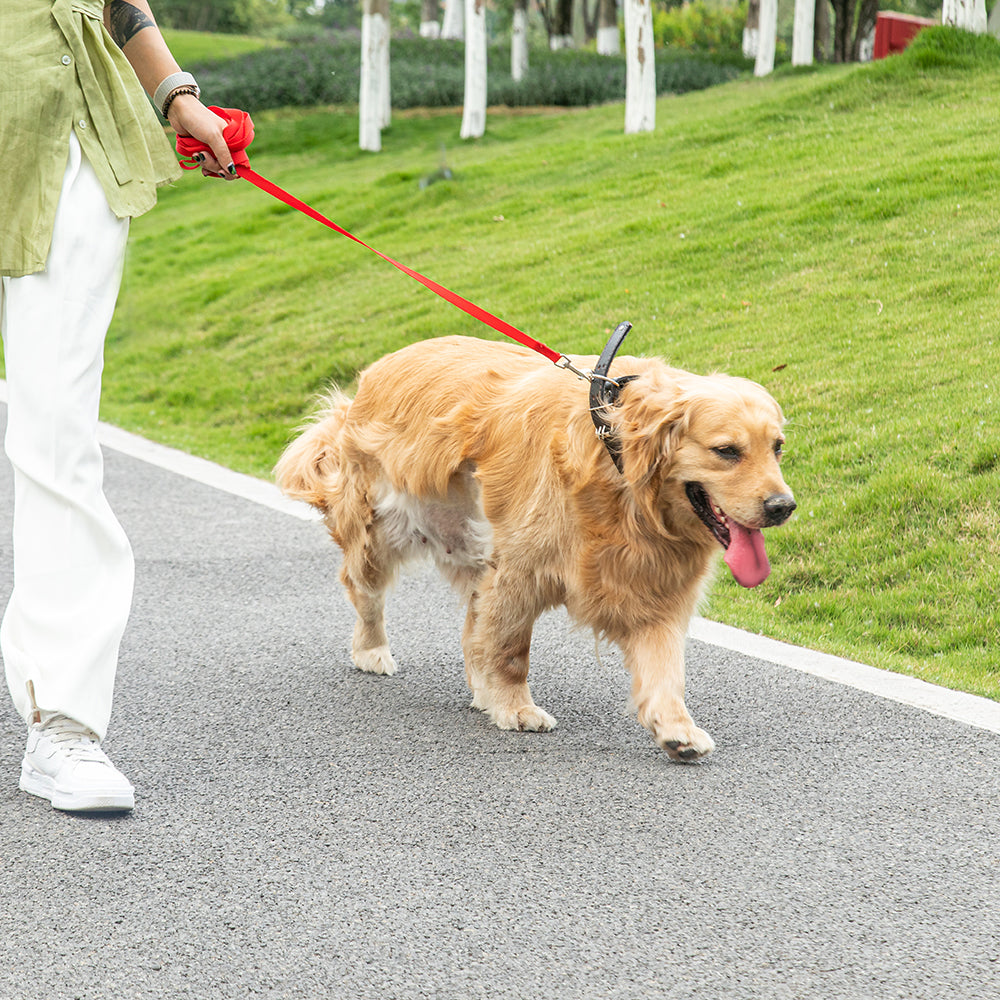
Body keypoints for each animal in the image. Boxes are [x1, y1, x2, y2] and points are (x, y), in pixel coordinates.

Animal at [278, 334, 792, 756]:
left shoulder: (654, 585)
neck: (616, 461)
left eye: (778, 447)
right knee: (365, 593)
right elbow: (510, 650)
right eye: (726, 451)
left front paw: (676, 728)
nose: (783, 506)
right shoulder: (518, 572)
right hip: (380, 534)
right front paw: (515, 707)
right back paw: (372, 651)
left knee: (472, 630)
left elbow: (665, 667)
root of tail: (368, 379)